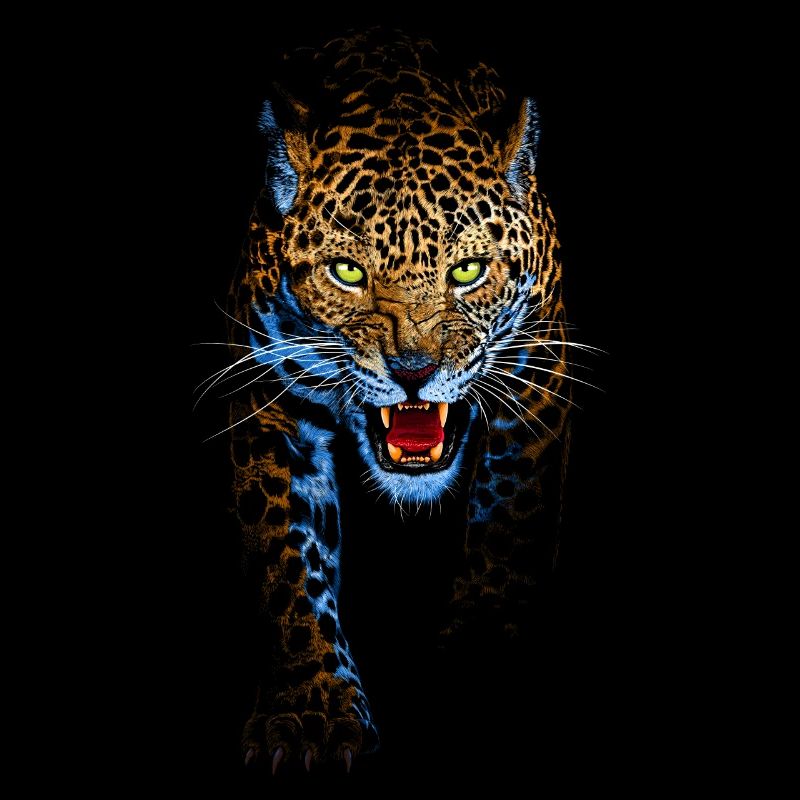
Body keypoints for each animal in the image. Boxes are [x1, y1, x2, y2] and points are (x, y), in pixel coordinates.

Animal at [216, 29, 575, 774]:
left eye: (467, 270)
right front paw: (312, 709)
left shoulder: (538, 377)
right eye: (348, 272)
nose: (414, 370)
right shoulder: (268, 395)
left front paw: (476, 665)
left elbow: (510, 526)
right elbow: (287, 558)